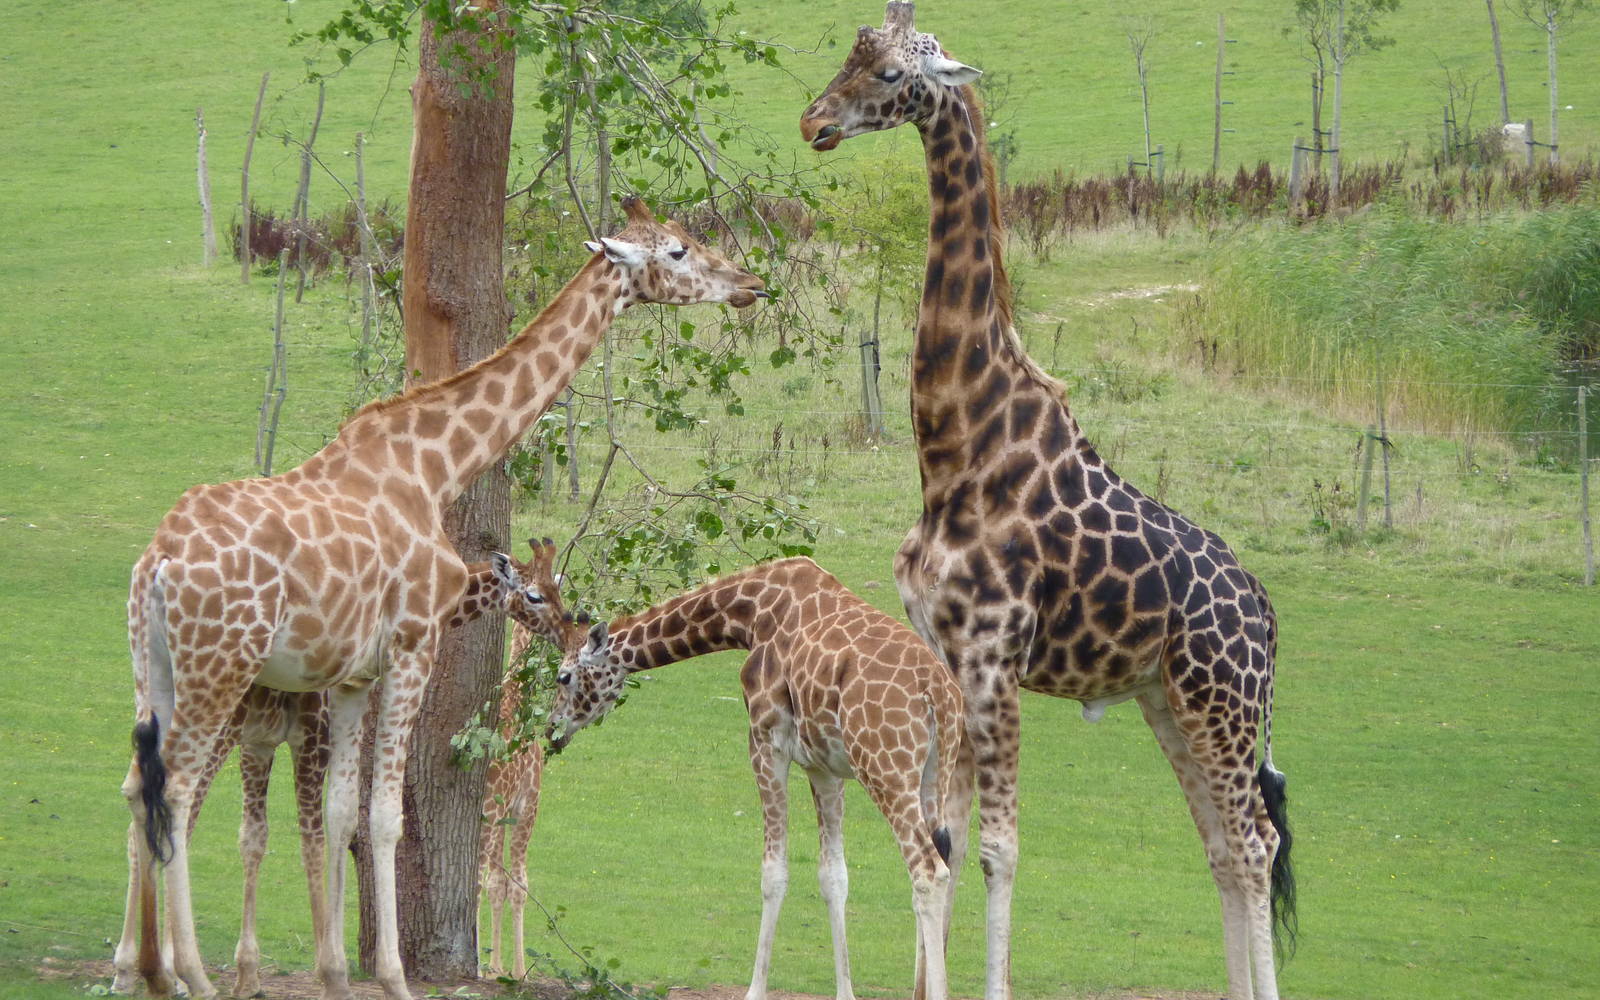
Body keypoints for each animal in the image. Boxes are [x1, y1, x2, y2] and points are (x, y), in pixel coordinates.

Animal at [111, 544, 553, 998]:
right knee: (177, 814)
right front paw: (326, 968)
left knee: (137, 809)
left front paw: (250, 974)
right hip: (215, 731)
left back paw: (129, 967)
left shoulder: (259, 745)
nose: (567, 624)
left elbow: (255, 839)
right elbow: (315, 841)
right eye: (537, 594)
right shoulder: (313, 739)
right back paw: (169, 970)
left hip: (158, 715)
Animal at [545, 556, 964, 1000]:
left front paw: (755, 990)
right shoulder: (824, 766)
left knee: (927, 871)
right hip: (934, 773)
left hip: (885, 768)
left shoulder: (765, 740)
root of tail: (938, 694)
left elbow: (772, 873)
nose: (552, 730)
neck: (750, 615)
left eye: (563, 677)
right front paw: (844, 992)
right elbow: (834, 876)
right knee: (943, 860)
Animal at [800, 6, 1296, 1000]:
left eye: (890, 73)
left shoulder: (995, 656)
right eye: (849, 50)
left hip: (1223, 705)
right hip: (1168, 701)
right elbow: (947, 841)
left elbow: (998, 849)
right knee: (1224, 849)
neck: (955, 448)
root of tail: (1265, 615)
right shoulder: (946, 658)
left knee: (1256, 843)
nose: (815, 122)